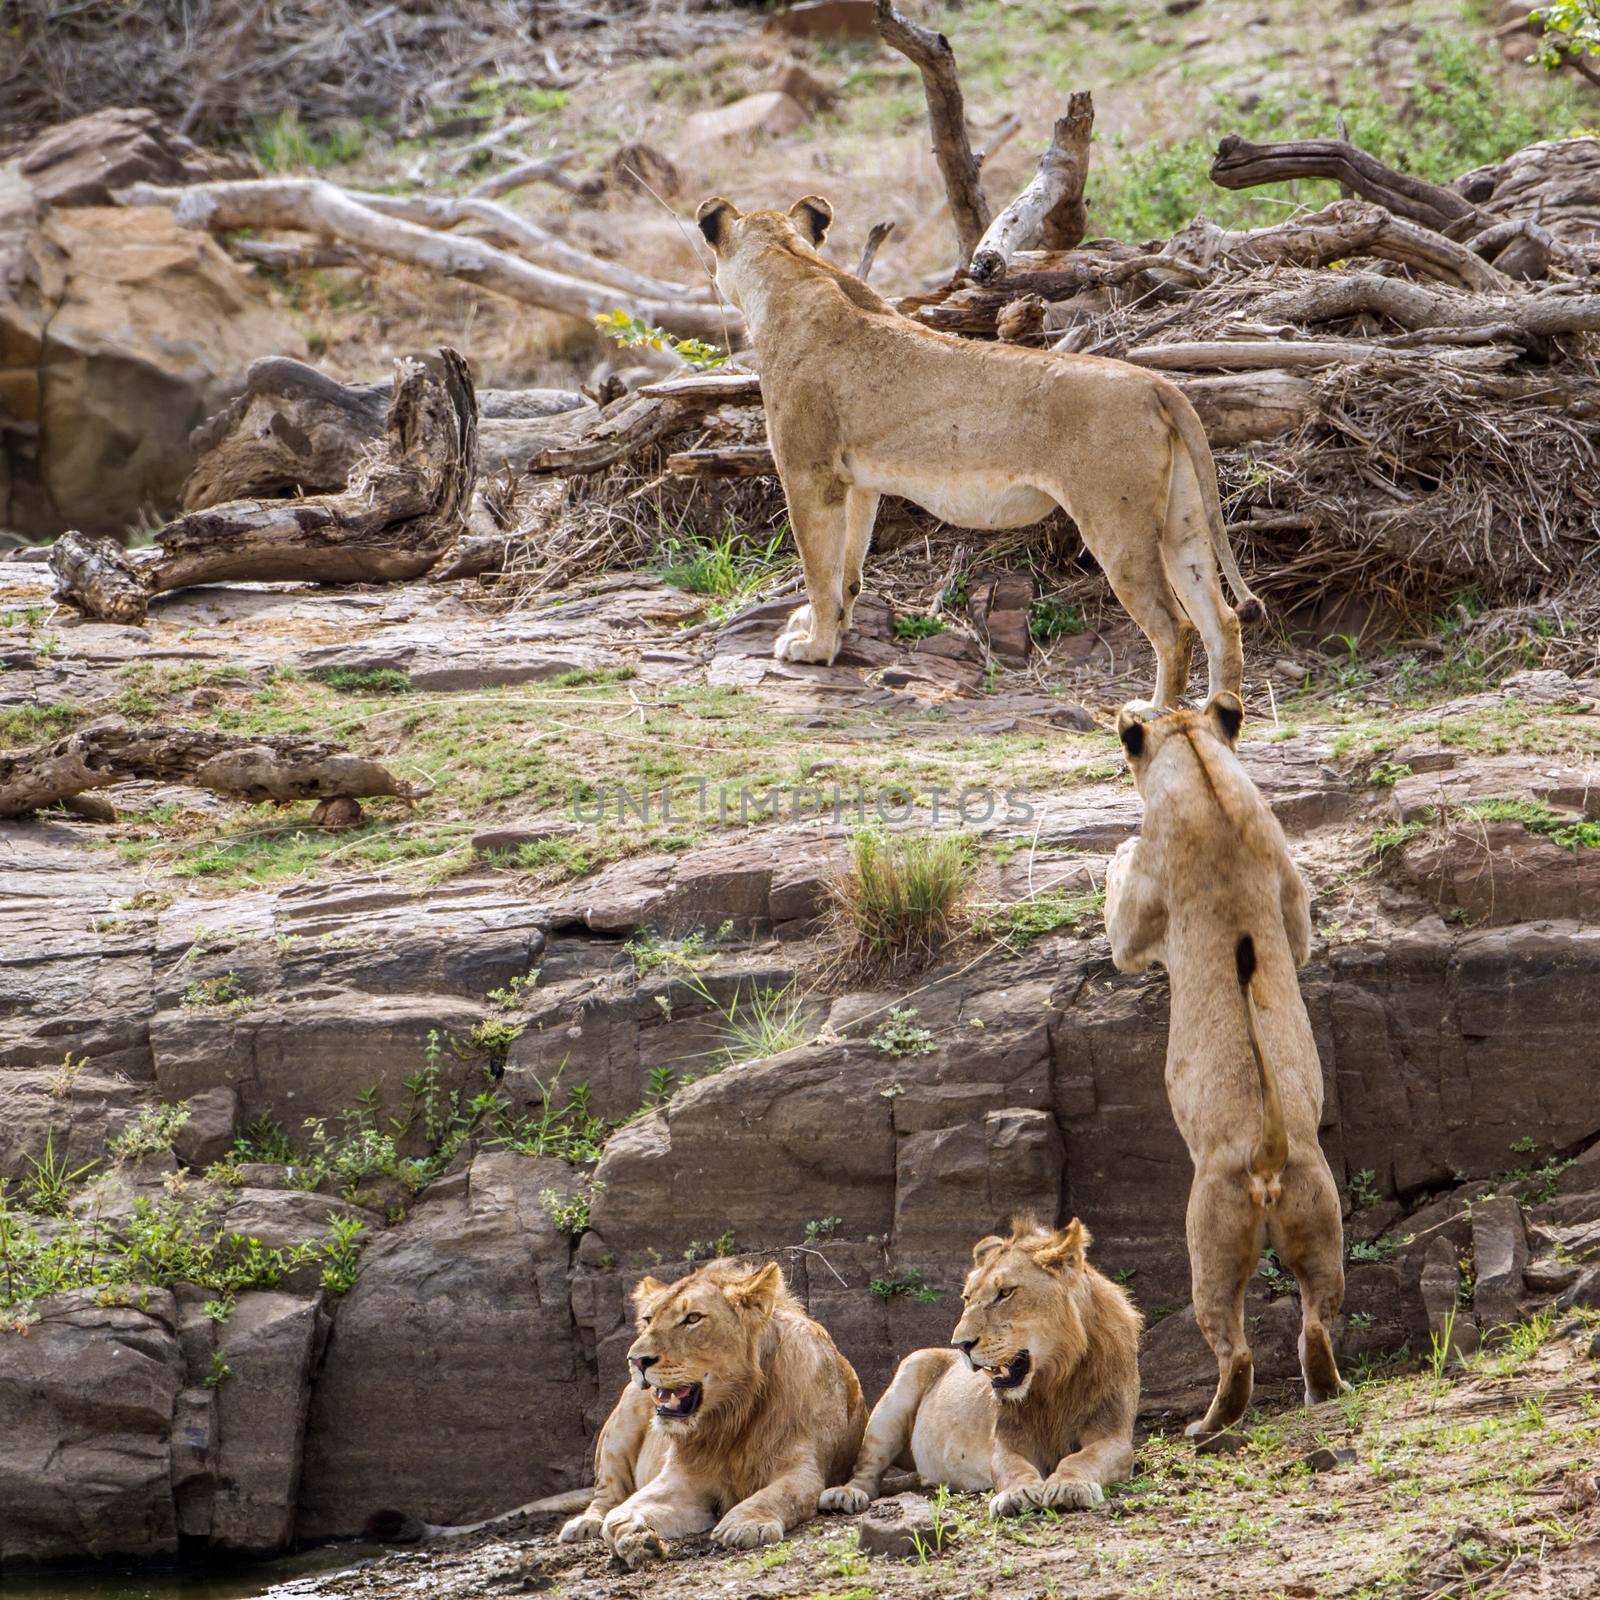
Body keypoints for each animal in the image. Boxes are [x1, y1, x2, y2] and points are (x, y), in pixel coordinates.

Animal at [560, 1260, 864, 1561]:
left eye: (693, 1318)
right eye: (647, 1320)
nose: (636, 1360)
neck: (731, 1417)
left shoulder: (803, 1470)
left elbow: (779, 1495)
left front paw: (744, 1524)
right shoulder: (681, 1481)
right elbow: (616, 1515)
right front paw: (637, 1537)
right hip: (618, 1431)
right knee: (606, 1495)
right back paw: (584, 1523)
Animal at [694, 193, 1267, 707]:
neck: (793, 268)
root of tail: (1156, 383)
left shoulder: (808, 472)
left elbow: (818, 569)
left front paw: (812, 648)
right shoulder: (857, 483)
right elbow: (847, 573)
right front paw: (832, 634)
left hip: (1116, 523)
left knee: (1175, 627)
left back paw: (1159, 714)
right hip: (1182, 522)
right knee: (1221, 621)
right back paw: (1219, 716)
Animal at [819, 1216, 1145, 1516]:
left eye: (1005, 1292)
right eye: (967, 1297)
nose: (961, 1344)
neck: (1055, 1380)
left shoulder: (1113, 1437)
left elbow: (1081, 1458)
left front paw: (1069, 1485)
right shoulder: (1006, 1441)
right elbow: (1013, 1467)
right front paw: (1018, 1493)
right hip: (898, 1392)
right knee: (866, 1471)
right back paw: (845, 1494)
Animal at [1107, 697, 1344, 1440]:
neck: (1204, 776)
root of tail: (1267, 1154)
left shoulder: (1135, 925)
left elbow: (1118, 911)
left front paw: (1114, 850)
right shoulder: (1292, 896)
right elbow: (1300, 937)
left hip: (1208, 1236)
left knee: (1233, 1348)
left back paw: (1205, 1427)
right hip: (1321, 1221)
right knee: (1317, 1321)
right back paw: (1324, 1391)